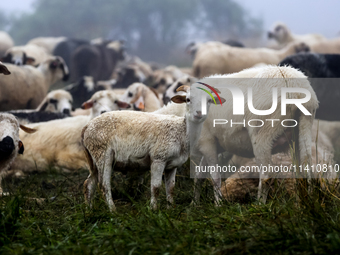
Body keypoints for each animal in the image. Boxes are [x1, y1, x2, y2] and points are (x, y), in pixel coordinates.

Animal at [81, 84, 226, 211]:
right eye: (188, 99)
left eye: (209, 101)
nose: (199, 113)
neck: (181, 130)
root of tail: (87, 126)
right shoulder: (158, 158)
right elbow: (155, 187)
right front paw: (154, 209)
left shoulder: (172, 165)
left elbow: (171, 188)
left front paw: (170, 209)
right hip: (102, 153)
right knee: (104, 185)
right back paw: (112, 210)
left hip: (92, 157)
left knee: (89, 183)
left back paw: (89, 210)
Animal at [191, 64, 318, 204]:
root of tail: (292, 83)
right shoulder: (214, 146)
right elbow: (199, 175)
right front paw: (195, 203)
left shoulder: (207, 141)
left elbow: (214, 177)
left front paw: (217, 204)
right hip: (304, 125)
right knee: (305, 167)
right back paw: (303, 204)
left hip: (263, 133)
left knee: (266, 174)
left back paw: (260, 205)